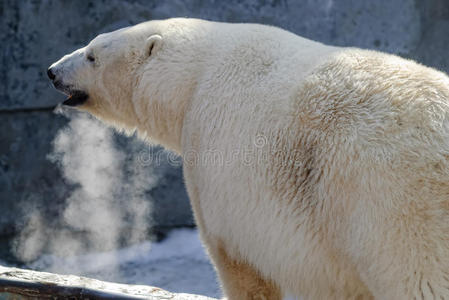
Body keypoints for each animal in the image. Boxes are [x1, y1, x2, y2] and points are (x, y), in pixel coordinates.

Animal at [48, 18, 449, 298]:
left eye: (92, 55)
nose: (52, 71)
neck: (193, 79)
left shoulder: (217, 167)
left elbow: (240, 266)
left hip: (396, 207)